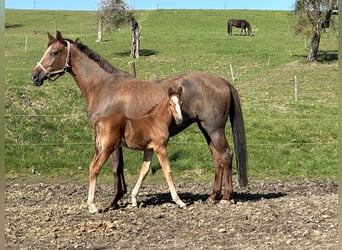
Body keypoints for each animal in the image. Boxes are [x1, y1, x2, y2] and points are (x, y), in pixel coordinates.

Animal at [30, 30, 247, 209]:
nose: (35, 75)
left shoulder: (112, 142)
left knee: (226, 155)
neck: (104, 86)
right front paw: (122, 196)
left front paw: (116, 199)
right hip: (205, 129)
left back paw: (226, 196)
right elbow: (120, 167)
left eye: (54, 52)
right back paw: (212, 195)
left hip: (214, 129)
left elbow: (115, 167)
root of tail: (223, 81)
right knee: (217, 158)